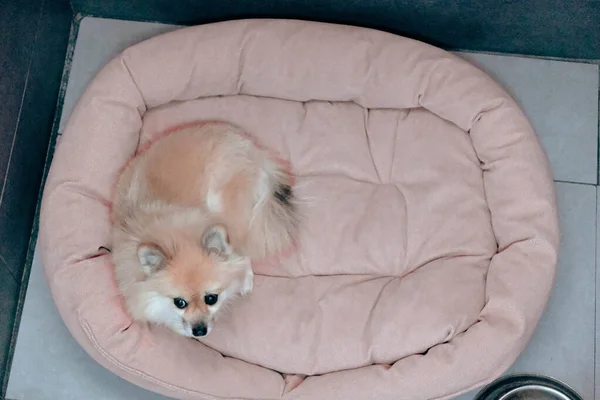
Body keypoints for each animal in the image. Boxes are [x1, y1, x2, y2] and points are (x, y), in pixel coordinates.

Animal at [110, 122, 298, 338]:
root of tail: (251, 149)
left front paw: (242, 276)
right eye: (180, 303)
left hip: (226, 206)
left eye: (211, 298)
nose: (199, 330)